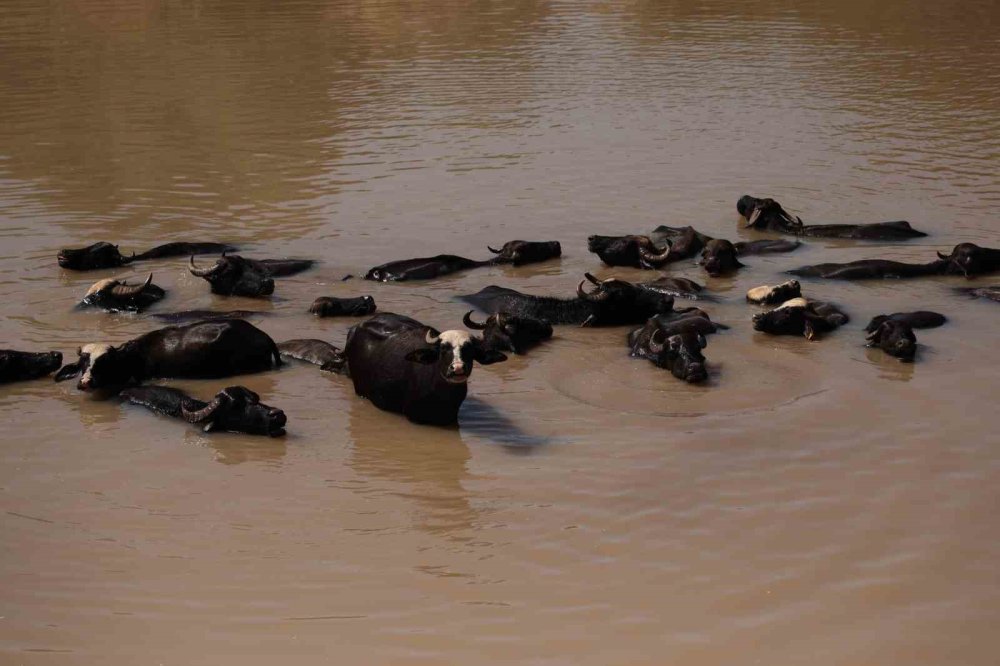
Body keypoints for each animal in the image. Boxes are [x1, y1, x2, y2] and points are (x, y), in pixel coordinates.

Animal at [344, 312, 508, 426]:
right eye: (443, 349)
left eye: (469, 349)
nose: (458, 368)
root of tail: (355, 329)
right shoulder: (413, 416)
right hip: (359, 389)